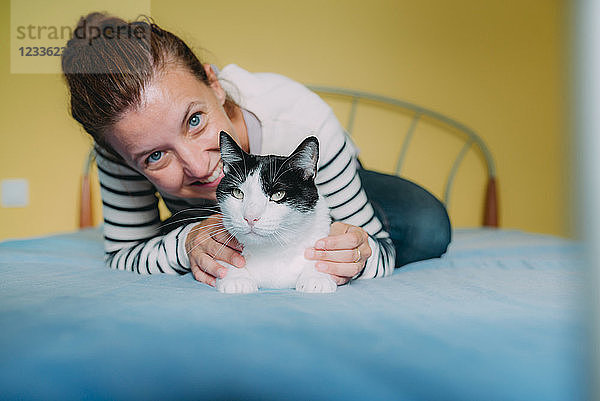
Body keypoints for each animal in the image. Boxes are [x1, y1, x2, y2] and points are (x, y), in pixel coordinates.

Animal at [216, 133, 338, 292]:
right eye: (237, 193)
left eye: (278, 194)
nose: (250, 218)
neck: (272, 250)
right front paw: (237, 279)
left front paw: (316, 278)